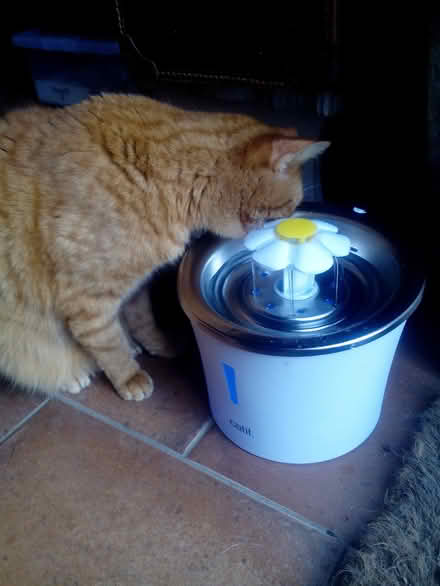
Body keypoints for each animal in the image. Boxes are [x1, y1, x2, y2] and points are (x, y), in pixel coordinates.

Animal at [0, 93, 330, 400]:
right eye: (284, 211)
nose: (289, 228)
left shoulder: (135, 286)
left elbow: (143, 321)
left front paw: (158, 344)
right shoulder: (87, 301)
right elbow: (108, 345)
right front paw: (128, 377)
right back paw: (72, 376)